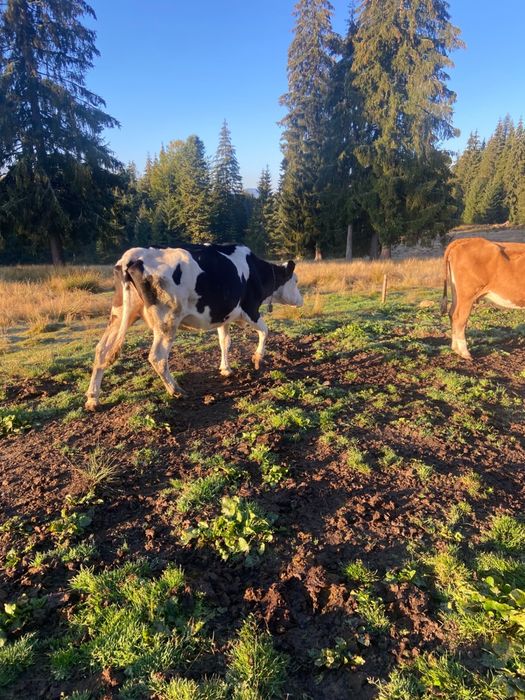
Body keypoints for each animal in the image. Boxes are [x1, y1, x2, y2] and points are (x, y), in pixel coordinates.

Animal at [85, 244, 303, 410]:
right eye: (296, 280)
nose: (301, 300)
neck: (256, 272)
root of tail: (133, 255)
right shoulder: (250, 309)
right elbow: (265, 331)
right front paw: (257, 358)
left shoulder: (223, 315)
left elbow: (225, 342)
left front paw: (225, 369)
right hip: (167, 321)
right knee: (157, 357)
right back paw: (176, 391)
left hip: (119, 314)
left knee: (101, 351)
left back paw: (92, 399)